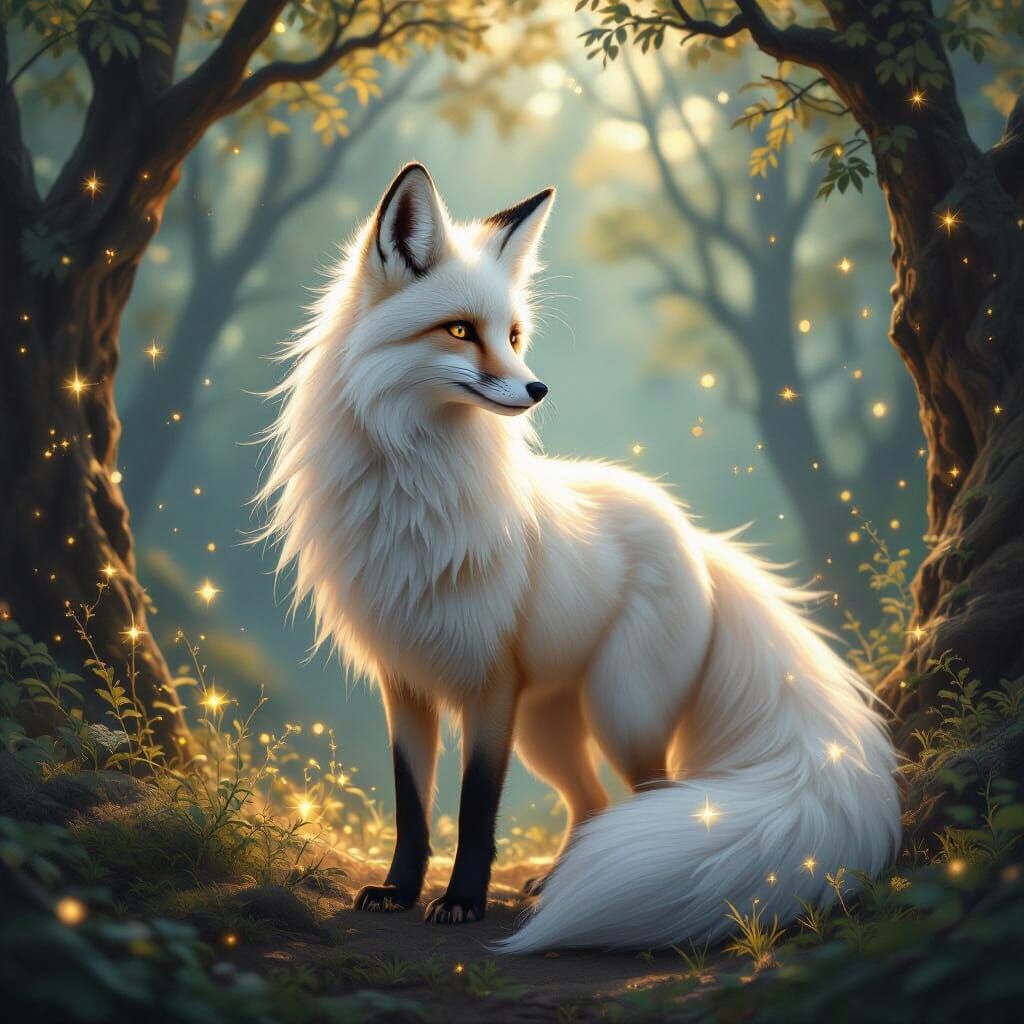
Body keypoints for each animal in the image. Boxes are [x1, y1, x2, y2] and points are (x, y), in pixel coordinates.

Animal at [259, 162, 902, 951]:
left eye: (512, 335)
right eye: (460, 331)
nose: (537, 388)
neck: (414, 493)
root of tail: (696, 536)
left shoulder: (490, 683)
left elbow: (475, 809)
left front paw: (463, 901)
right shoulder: (404, 679)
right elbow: (413, 805)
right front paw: (401, 890)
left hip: (620, 710)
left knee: (649, 792)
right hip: (549, 727)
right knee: (591, 801)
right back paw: (561, 880)